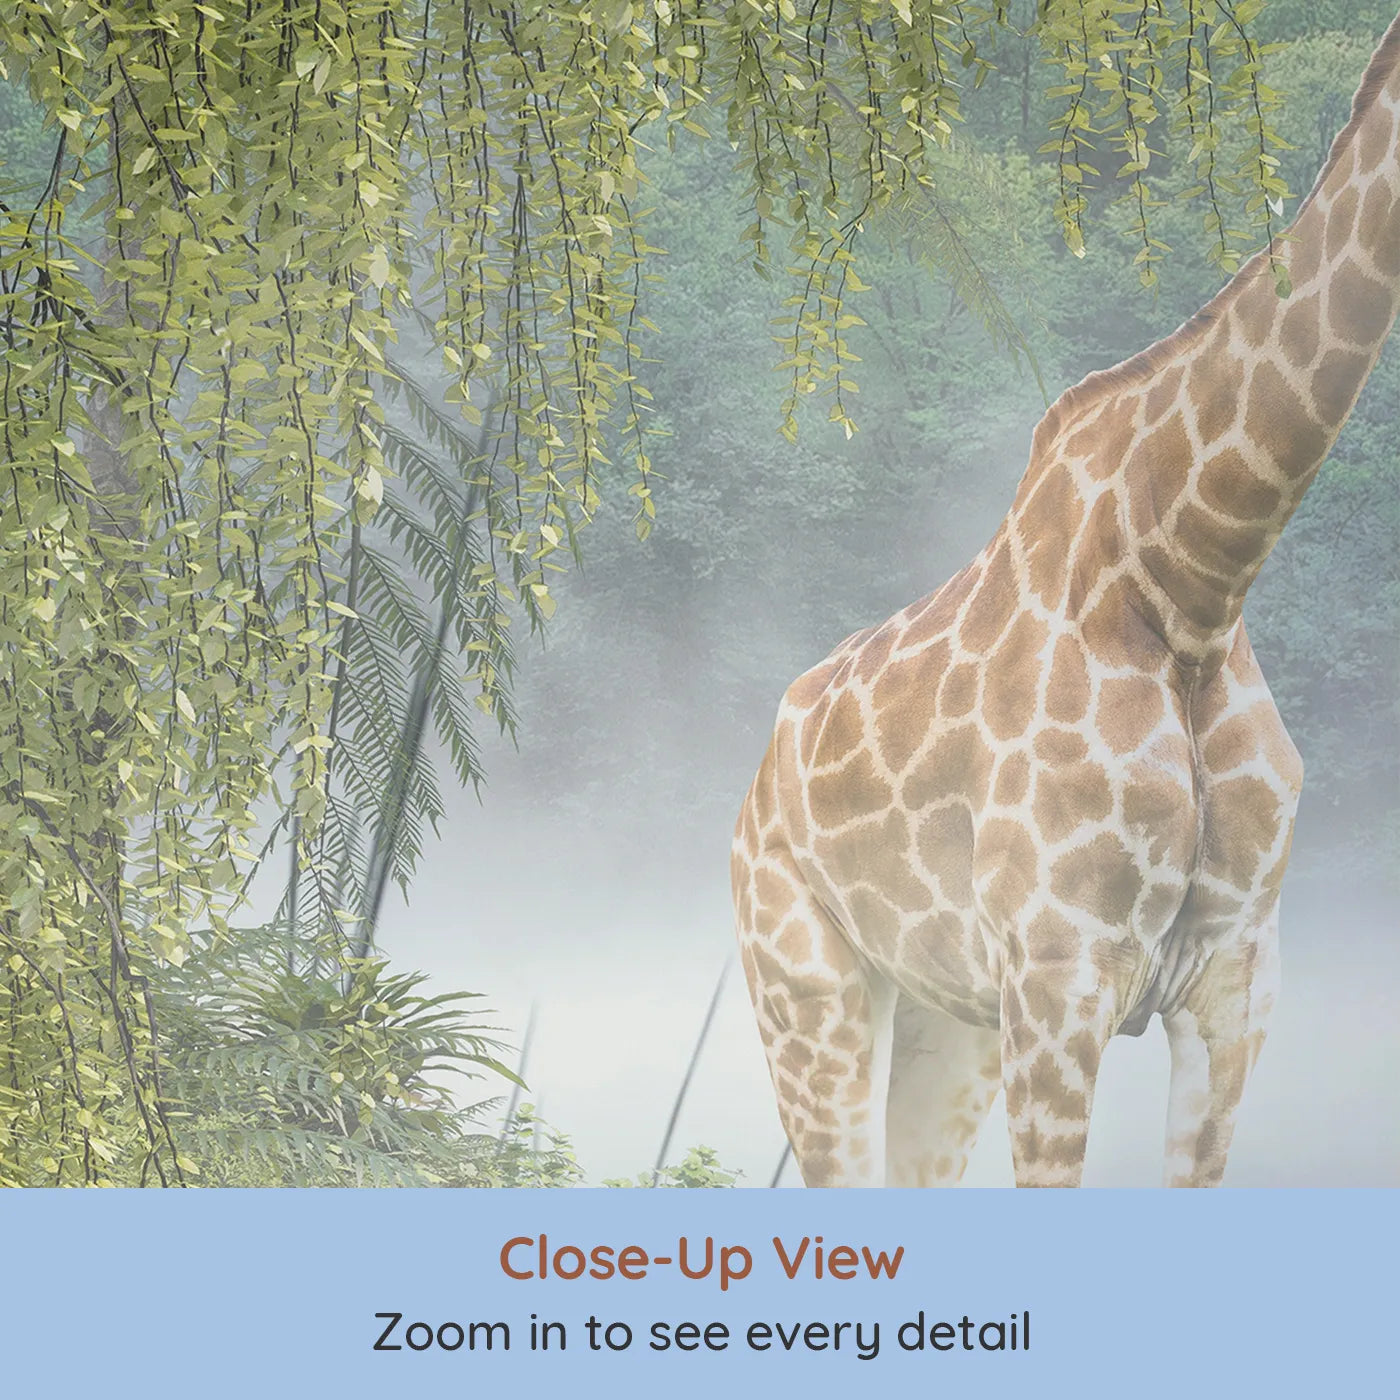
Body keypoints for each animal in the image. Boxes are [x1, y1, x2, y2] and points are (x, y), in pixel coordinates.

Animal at [732, 16, 1400, 1189]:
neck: (1190, 581)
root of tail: (752, 793)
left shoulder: (1234, 981)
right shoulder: (1059, 974)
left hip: (948, 1019)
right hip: (805, 986)